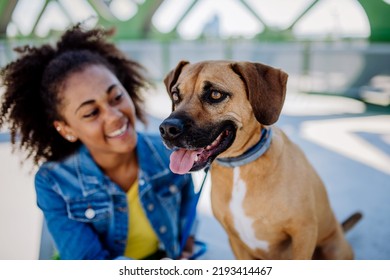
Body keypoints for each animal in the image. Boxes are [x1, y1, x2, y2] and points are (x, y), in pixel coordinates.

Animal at [159, 60, 362, 260]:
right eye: (175, 95)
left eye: (215, 94)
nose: (167, 129)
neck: (238, 167)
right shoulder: (236, 242)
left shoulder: (304, 233)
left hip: (332, 248)